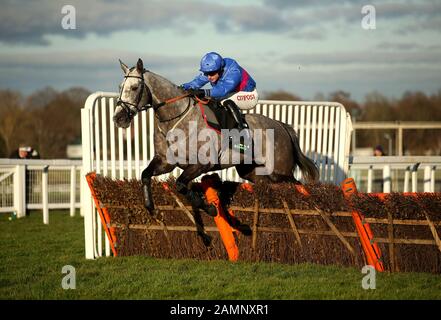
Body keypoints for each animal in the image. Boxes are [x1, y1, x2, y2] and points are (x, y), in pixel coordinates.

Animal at [113, 59, 318, 216]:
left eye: (135, 87)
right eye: (120, 87)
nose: (118, 118)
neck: (176, 119)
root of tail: (282, 126)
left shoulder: (201, 164)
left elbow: (180, 184)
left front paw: (210, 208)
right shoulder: (165, 162)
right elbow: (145, 175)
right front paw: (150, 206)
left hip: (279, 171)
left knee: (297, 184)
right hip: (255, 172)